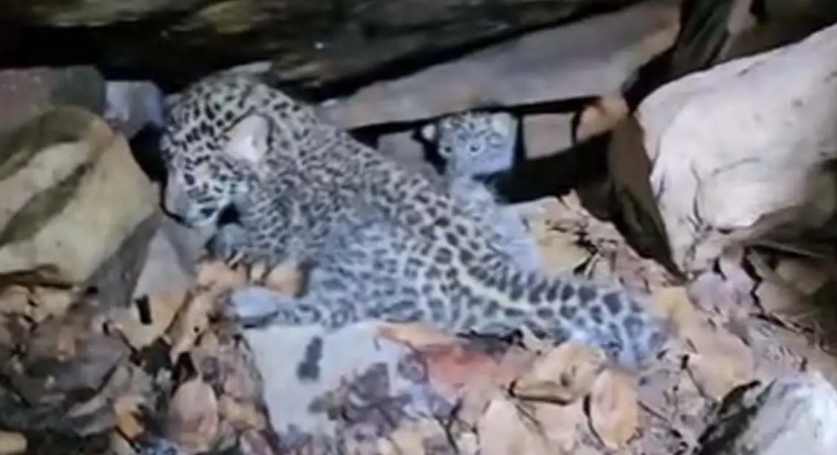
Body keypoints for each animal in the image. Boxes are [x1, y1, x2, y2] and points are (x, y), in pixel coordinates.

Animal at [159, 72, 671, 369]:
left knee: (327, 311)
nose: (170, 210)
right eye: (163, 164)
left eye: (193, 177)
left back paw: (248, 301)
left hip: (357, 247)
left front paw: (226, 235)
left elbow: (253, 238)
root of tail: (488, 274)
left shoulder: (272, 232)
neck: (285, 135)